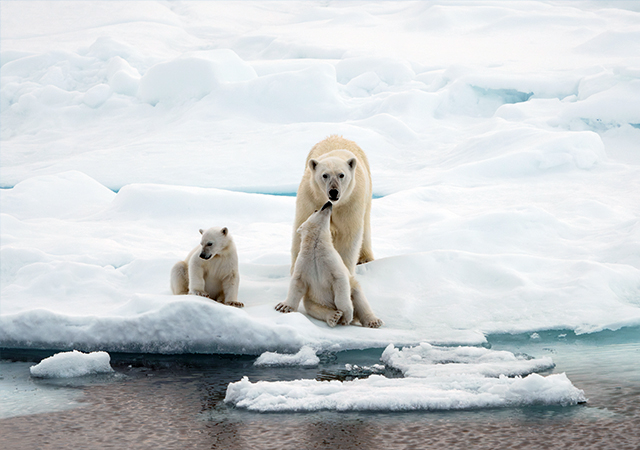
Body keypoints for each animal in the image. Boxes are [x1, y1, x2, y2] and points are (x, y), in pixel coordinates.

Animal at [292, 135, 373, 275]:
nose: (333, 191)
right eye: (324, 175)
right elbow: (303, 226)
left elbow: (348, 233)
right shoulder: (310, 197)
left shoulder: (350, 202)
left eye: (341, 175)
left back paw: (365, 258)